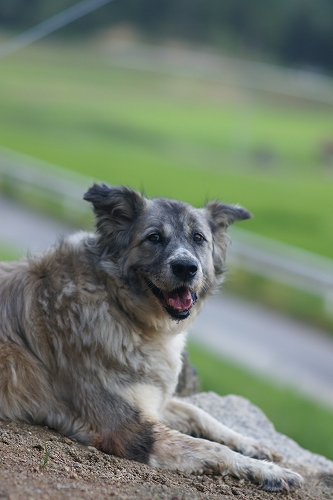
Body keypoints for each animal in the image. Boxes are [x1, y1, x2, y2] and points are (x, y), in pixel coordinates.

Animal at [0, 185, 302, 492]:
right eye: (154, 237)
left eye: (198, 238)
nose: (186, 267)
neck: (122, 308)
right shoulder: (128, 429)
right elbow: (212, 448)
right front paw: (269, 472)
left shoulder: (152, 399)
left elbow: (199, 414)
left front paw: (252, 444)